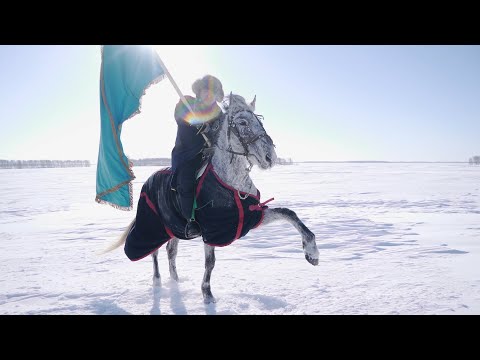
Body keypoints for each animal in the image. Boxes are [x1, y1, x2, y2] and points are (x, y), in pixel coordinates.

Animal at [107, 93, 320, 304]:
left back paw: (176, 281)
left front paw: (312, 253)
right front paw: (207, 295)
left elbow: (289, 214)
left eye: (260, 121)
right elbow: (210, 263)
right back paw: (158, 282)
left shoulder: (250, 217)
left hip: (174, 227)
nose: (270, 157)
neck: (231, 183)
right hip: (152, 225)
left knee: (170, 251)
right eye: (242, 122)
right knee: (154, 251)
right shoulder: (212, 229)